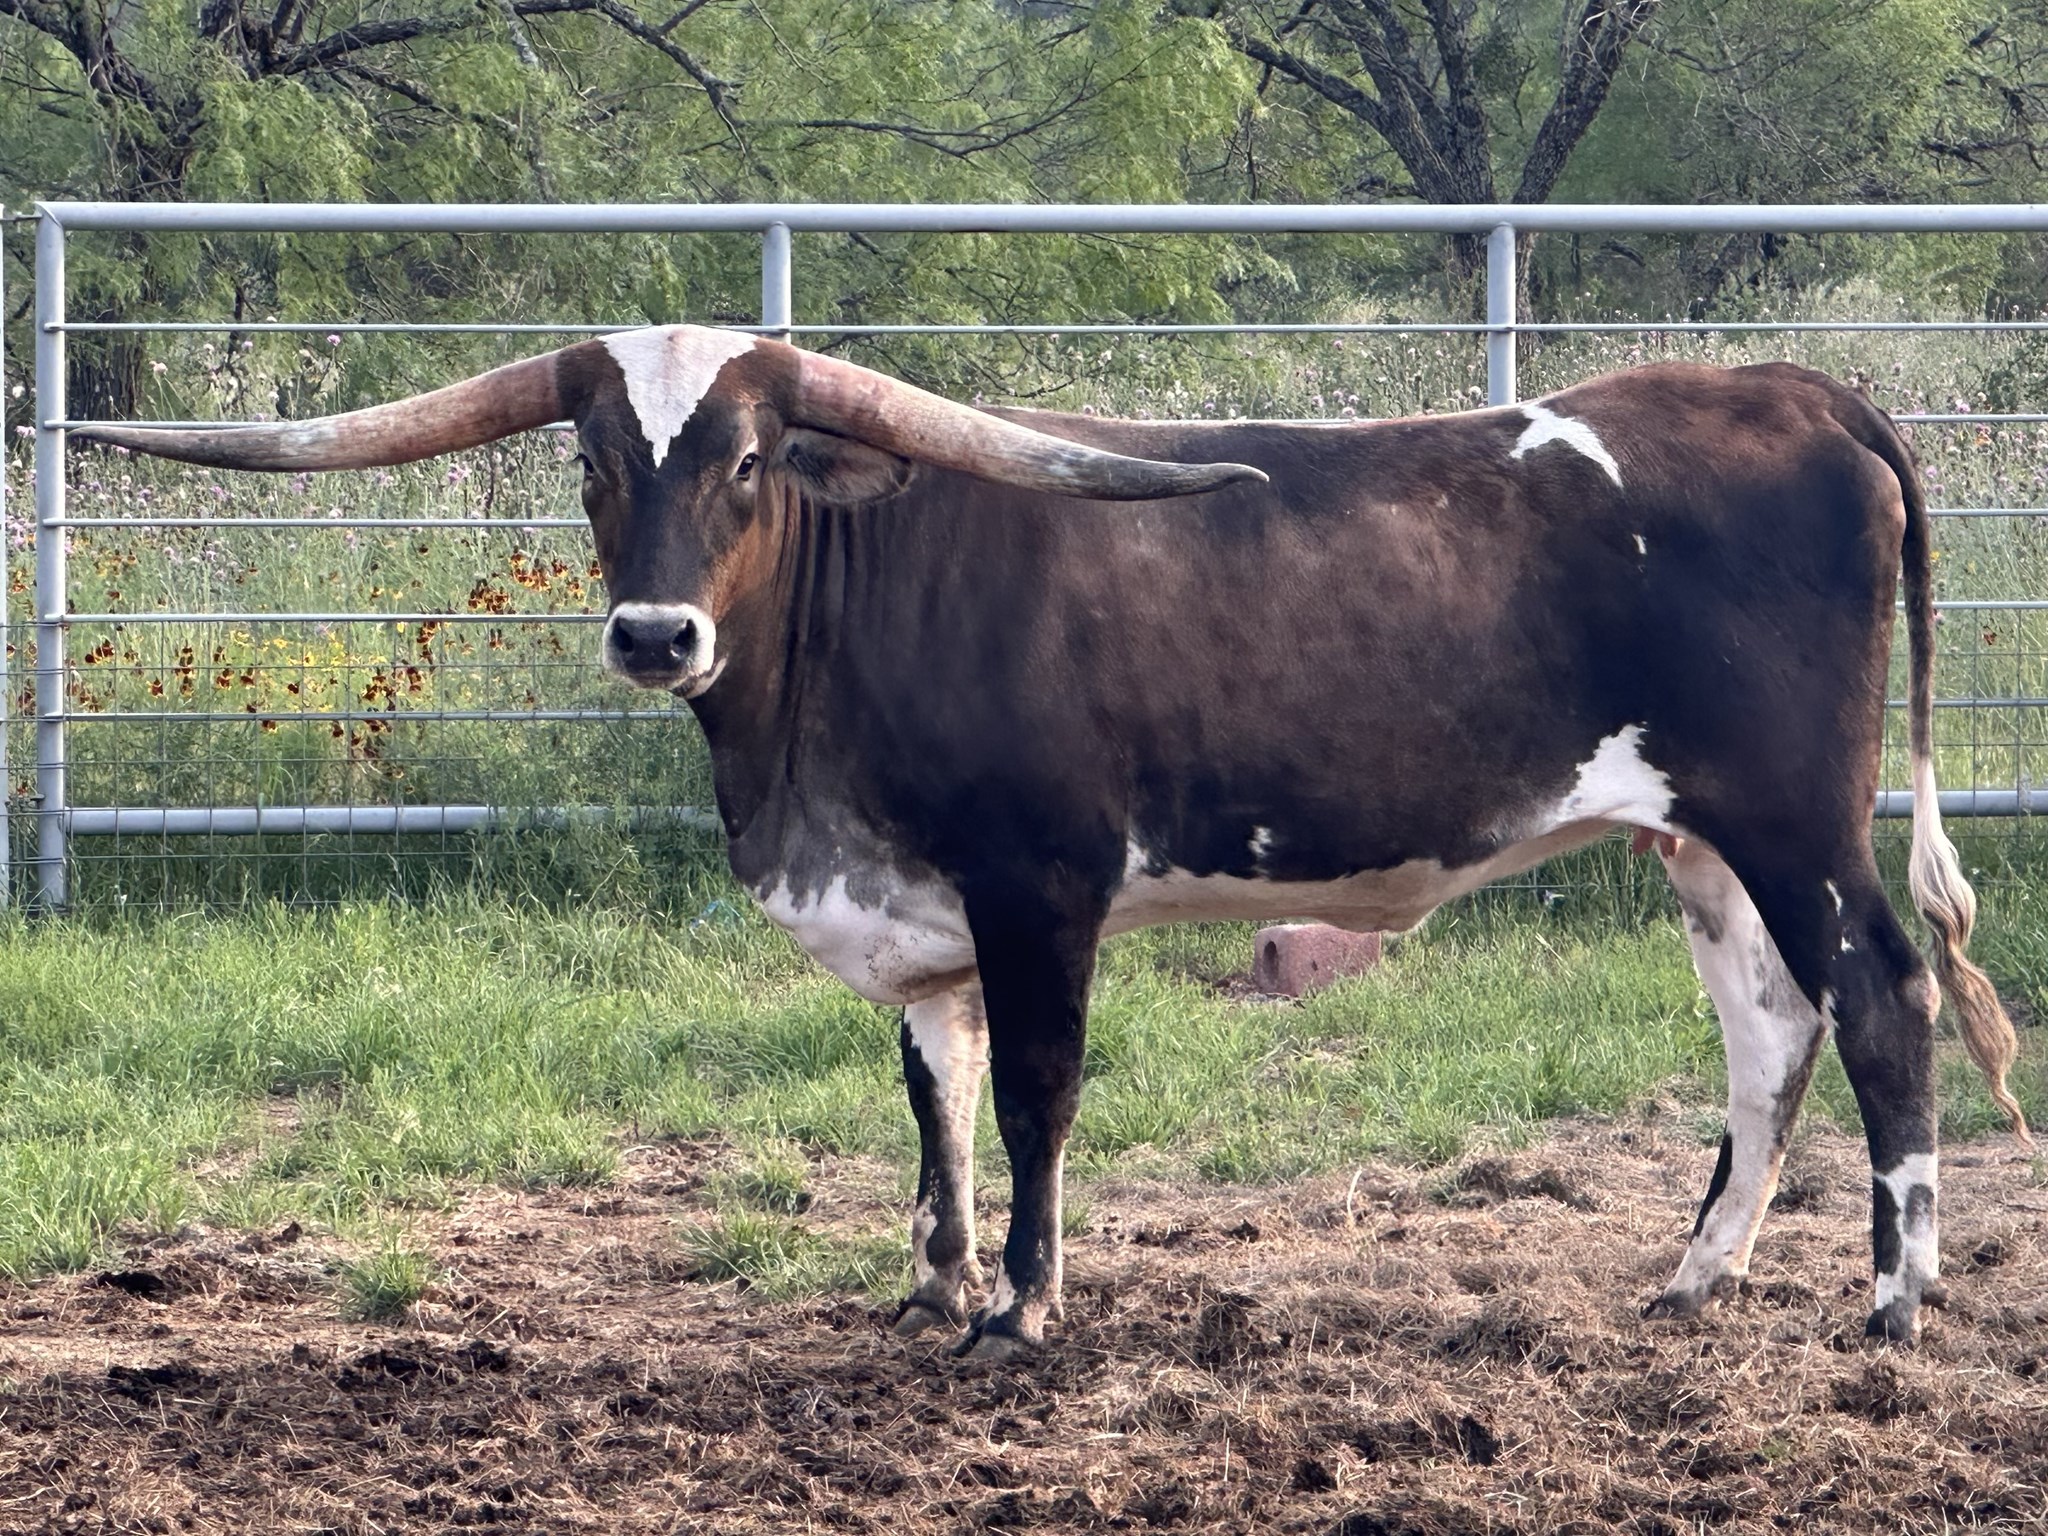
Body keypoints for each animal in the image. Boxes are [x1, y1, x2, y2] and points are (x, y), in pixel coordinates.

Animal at [85, 326, 2029, 1359]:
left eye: (748, 459)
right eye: (592, 463)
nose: (653, 635)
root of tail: (1794, 390)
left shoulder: (1039, 889)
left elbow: (1029, 1093)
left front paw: (1020, 1305)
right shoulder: (923, 910)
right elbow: (931, 1089)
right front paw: (931, 1279)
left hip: (1791, 814)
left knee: (1881, 998)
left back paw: (1895, 1299)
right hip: (1693, 841)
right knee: (1766, 1032)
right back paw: (1693, 1277)